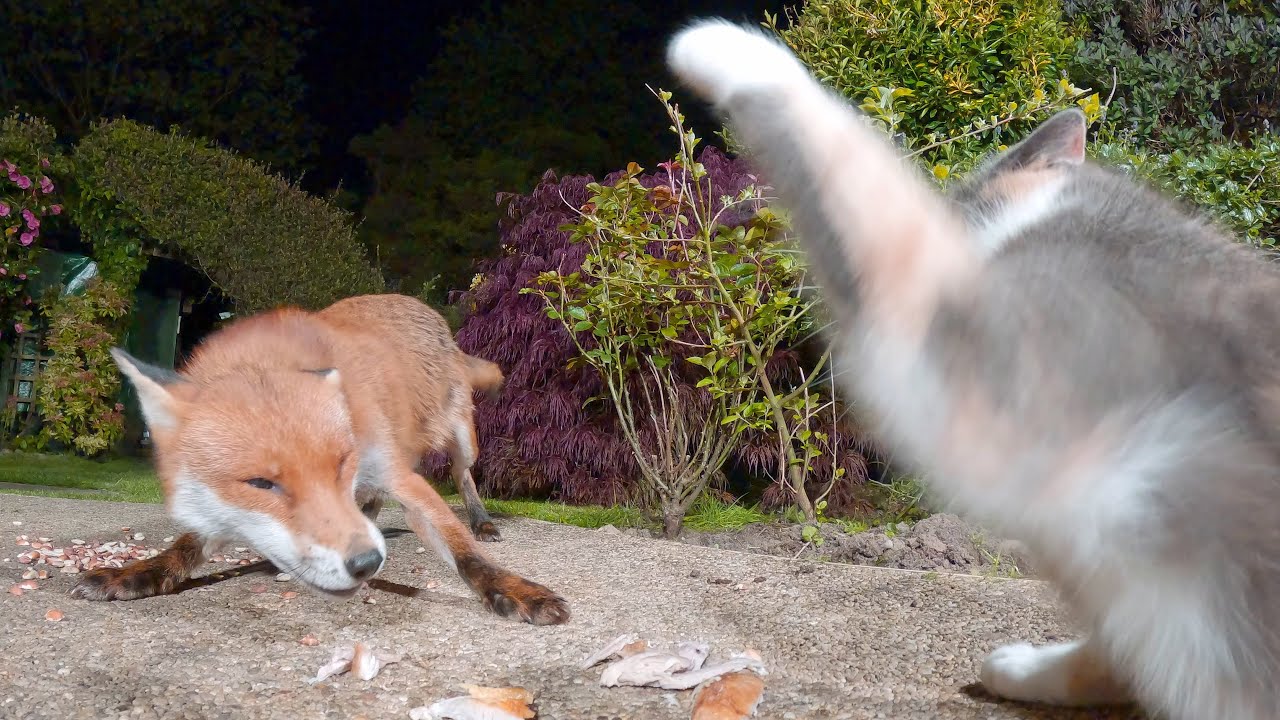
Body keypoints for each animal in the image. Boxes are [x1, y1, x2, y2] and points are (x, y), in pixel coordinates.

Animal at [68, 293, 569, 626]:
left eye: (340, 464)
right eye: (261, 484)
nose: (366, 564)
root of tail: (427, 311)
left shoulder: (399, 476)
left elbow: (465, 554)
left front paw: (512, 589)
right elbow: (183, 548)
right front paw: (137, 574)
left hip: (462, 439)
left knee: (464, 476)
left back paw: (481, 520)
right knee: (376, 502)